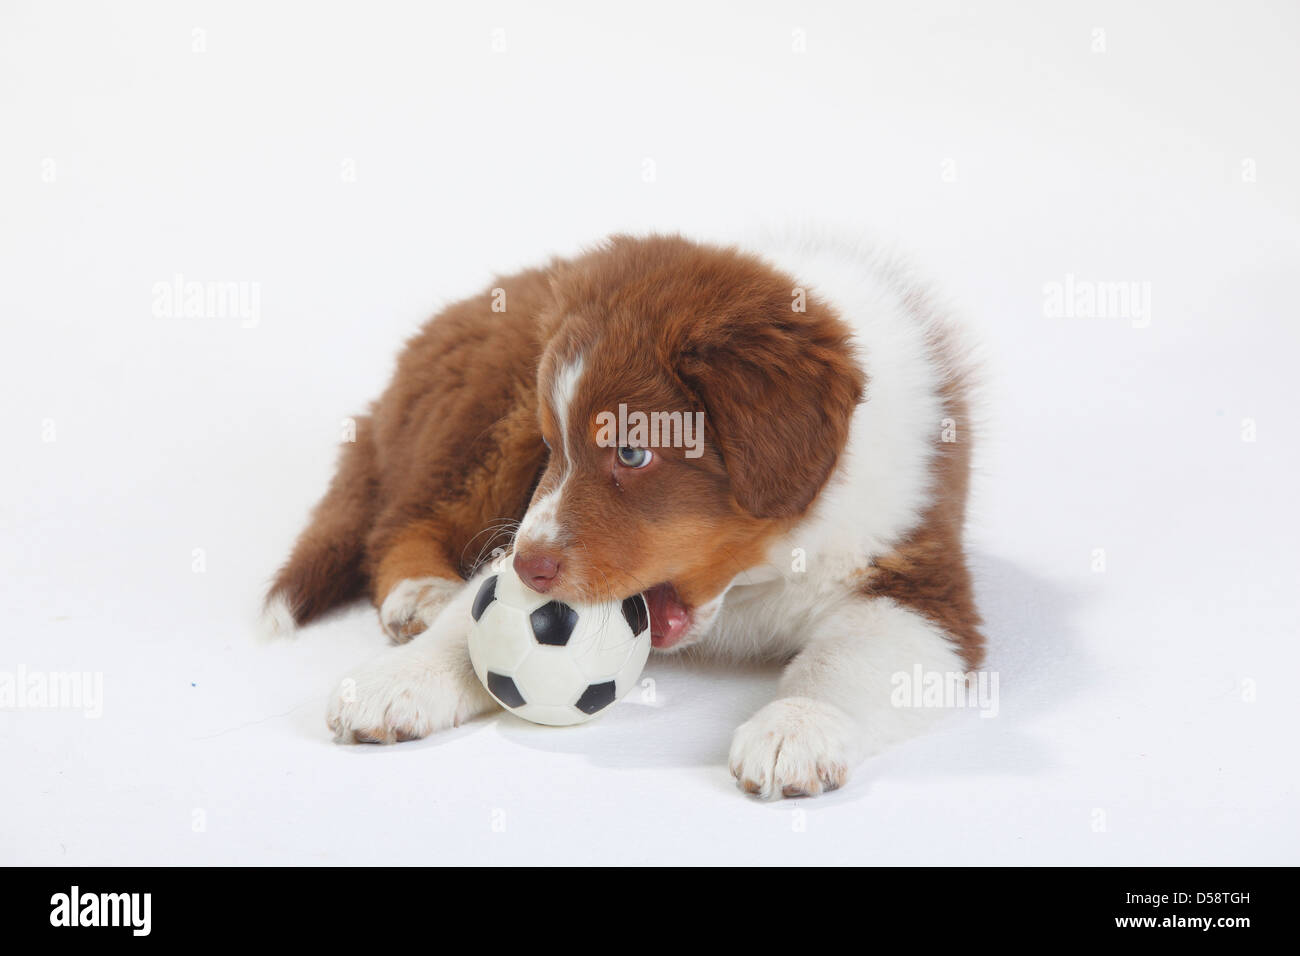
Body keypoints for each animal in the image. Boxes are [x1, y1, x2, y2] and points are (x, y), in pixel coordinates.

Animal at [258, 231, 977, 801]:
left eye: (632, 452)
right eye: (553, 444)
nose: (532, 566)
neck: (758, 580)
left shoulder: (919, 573)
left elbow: (849, 660)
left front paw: (793, 729)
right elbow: (474, 617)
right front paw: (399, 681)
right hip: (482, 421)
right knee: (399, 522)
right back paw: (419, 594)